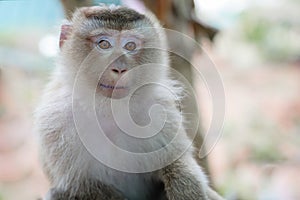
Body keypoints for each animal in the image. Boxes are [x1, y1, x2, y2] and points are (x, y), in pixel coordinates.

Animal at [34, 4, 224, 200]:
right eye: (104, 44)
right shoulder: (57, 123)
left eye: (130, 45)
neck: (109, 111)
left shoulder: (160, 110)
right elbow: (81, 184)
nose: (119, 68)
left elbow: (177, 162)